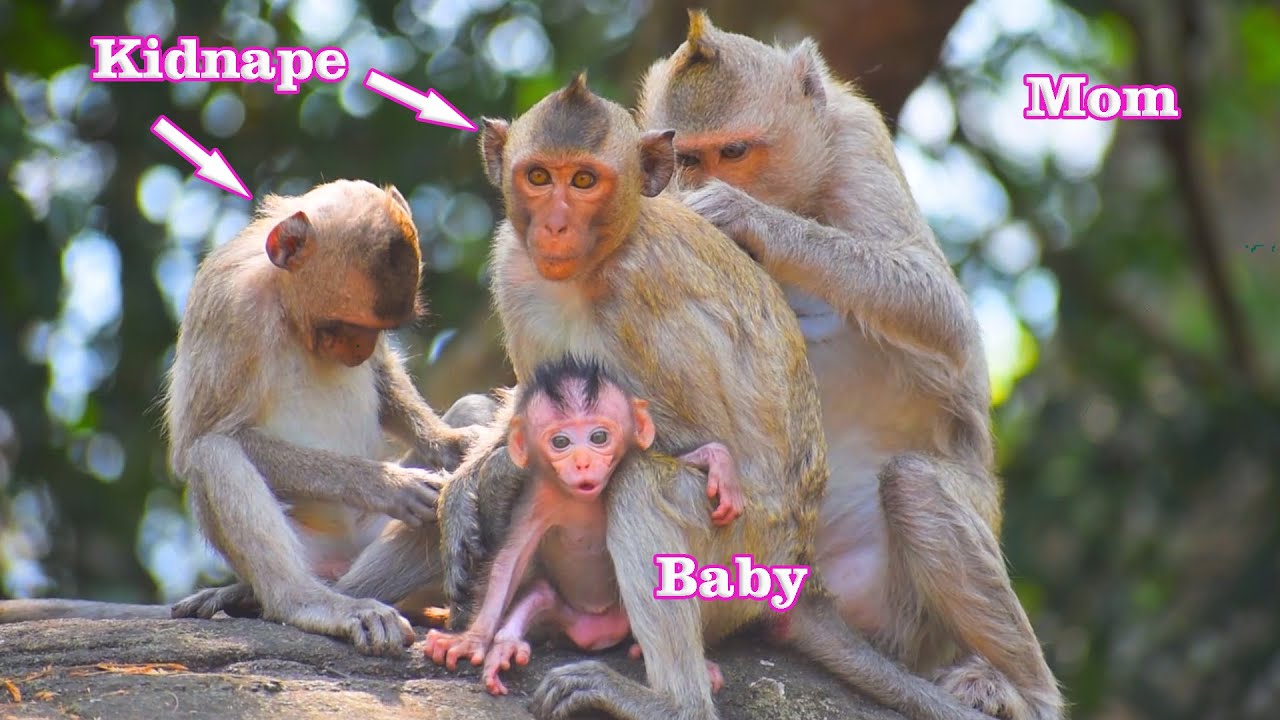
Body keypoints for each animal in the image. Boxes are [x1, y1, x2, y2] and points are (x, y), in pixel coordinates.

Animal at [422, 355, 740, 696]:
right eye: (561, 442)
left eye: (598, 437)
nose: (583, 462)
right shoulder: (539, 496)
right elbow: (509, 561)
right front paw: (472, 640)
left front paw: (715, 462)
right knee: (541, 595)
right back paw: (507, 645)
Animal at [635, 12, 1064, 720]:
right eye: (687, 158)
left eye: (734, 153)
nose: (696, 184)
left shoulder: (859, 143)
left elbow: (940, 311)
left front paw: (741, 215)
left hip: (911, 615)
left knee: (916, 484)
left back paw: (1023, 688)